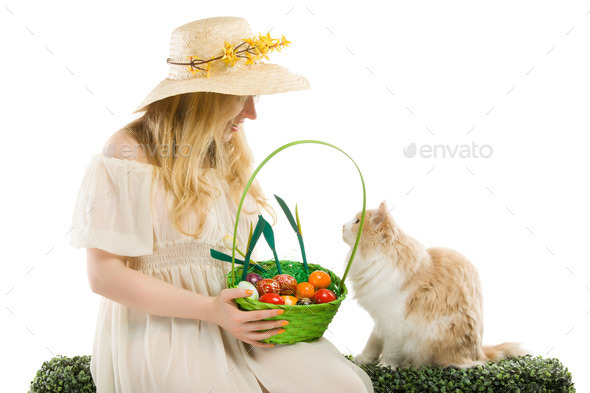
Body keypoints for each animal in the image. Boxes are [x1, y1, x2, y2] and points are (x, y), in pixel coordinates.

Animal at [340, 201, 528, 370]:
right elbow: (373, 342)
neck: (377, 256)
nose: (342, 225)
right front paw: (363, 359)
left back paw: (409, 365)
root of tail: (479, 353)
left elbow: (390, 351)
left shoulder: (395, 321)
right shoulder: (381, 318)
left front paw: (385, 366)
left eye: (357, 221)